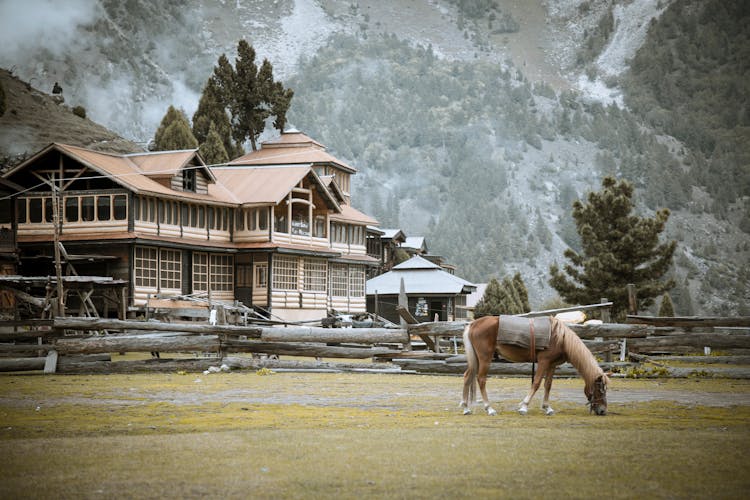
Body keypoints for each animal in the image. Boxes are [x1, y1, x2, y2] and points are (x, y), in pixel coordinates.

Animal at [458, 316, 612, 414]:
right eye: (600, 390)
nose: (603, 411)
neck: (560, 338)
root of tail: (473, 324)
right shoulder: (544, 361)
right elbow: (537, 382)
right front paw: (524, 407)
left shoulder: (552, 365)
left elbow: (548, 385)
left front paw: (547, 408)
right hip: (485, 358)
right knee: (481, 379)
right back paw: (489, 408)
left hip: (476, 359)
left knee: (467, 377)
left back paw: (466, 408)